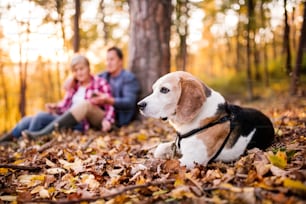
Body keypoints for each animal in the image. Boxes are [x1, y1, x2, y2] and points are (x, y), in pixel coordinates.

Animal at [137, 71, 274, 168]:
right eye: (154, 89)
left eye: (164, 90)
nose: (139, 105)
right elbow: (159, 149)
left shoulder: (191, 159)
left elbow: (160, 164)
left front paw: (140, 167)